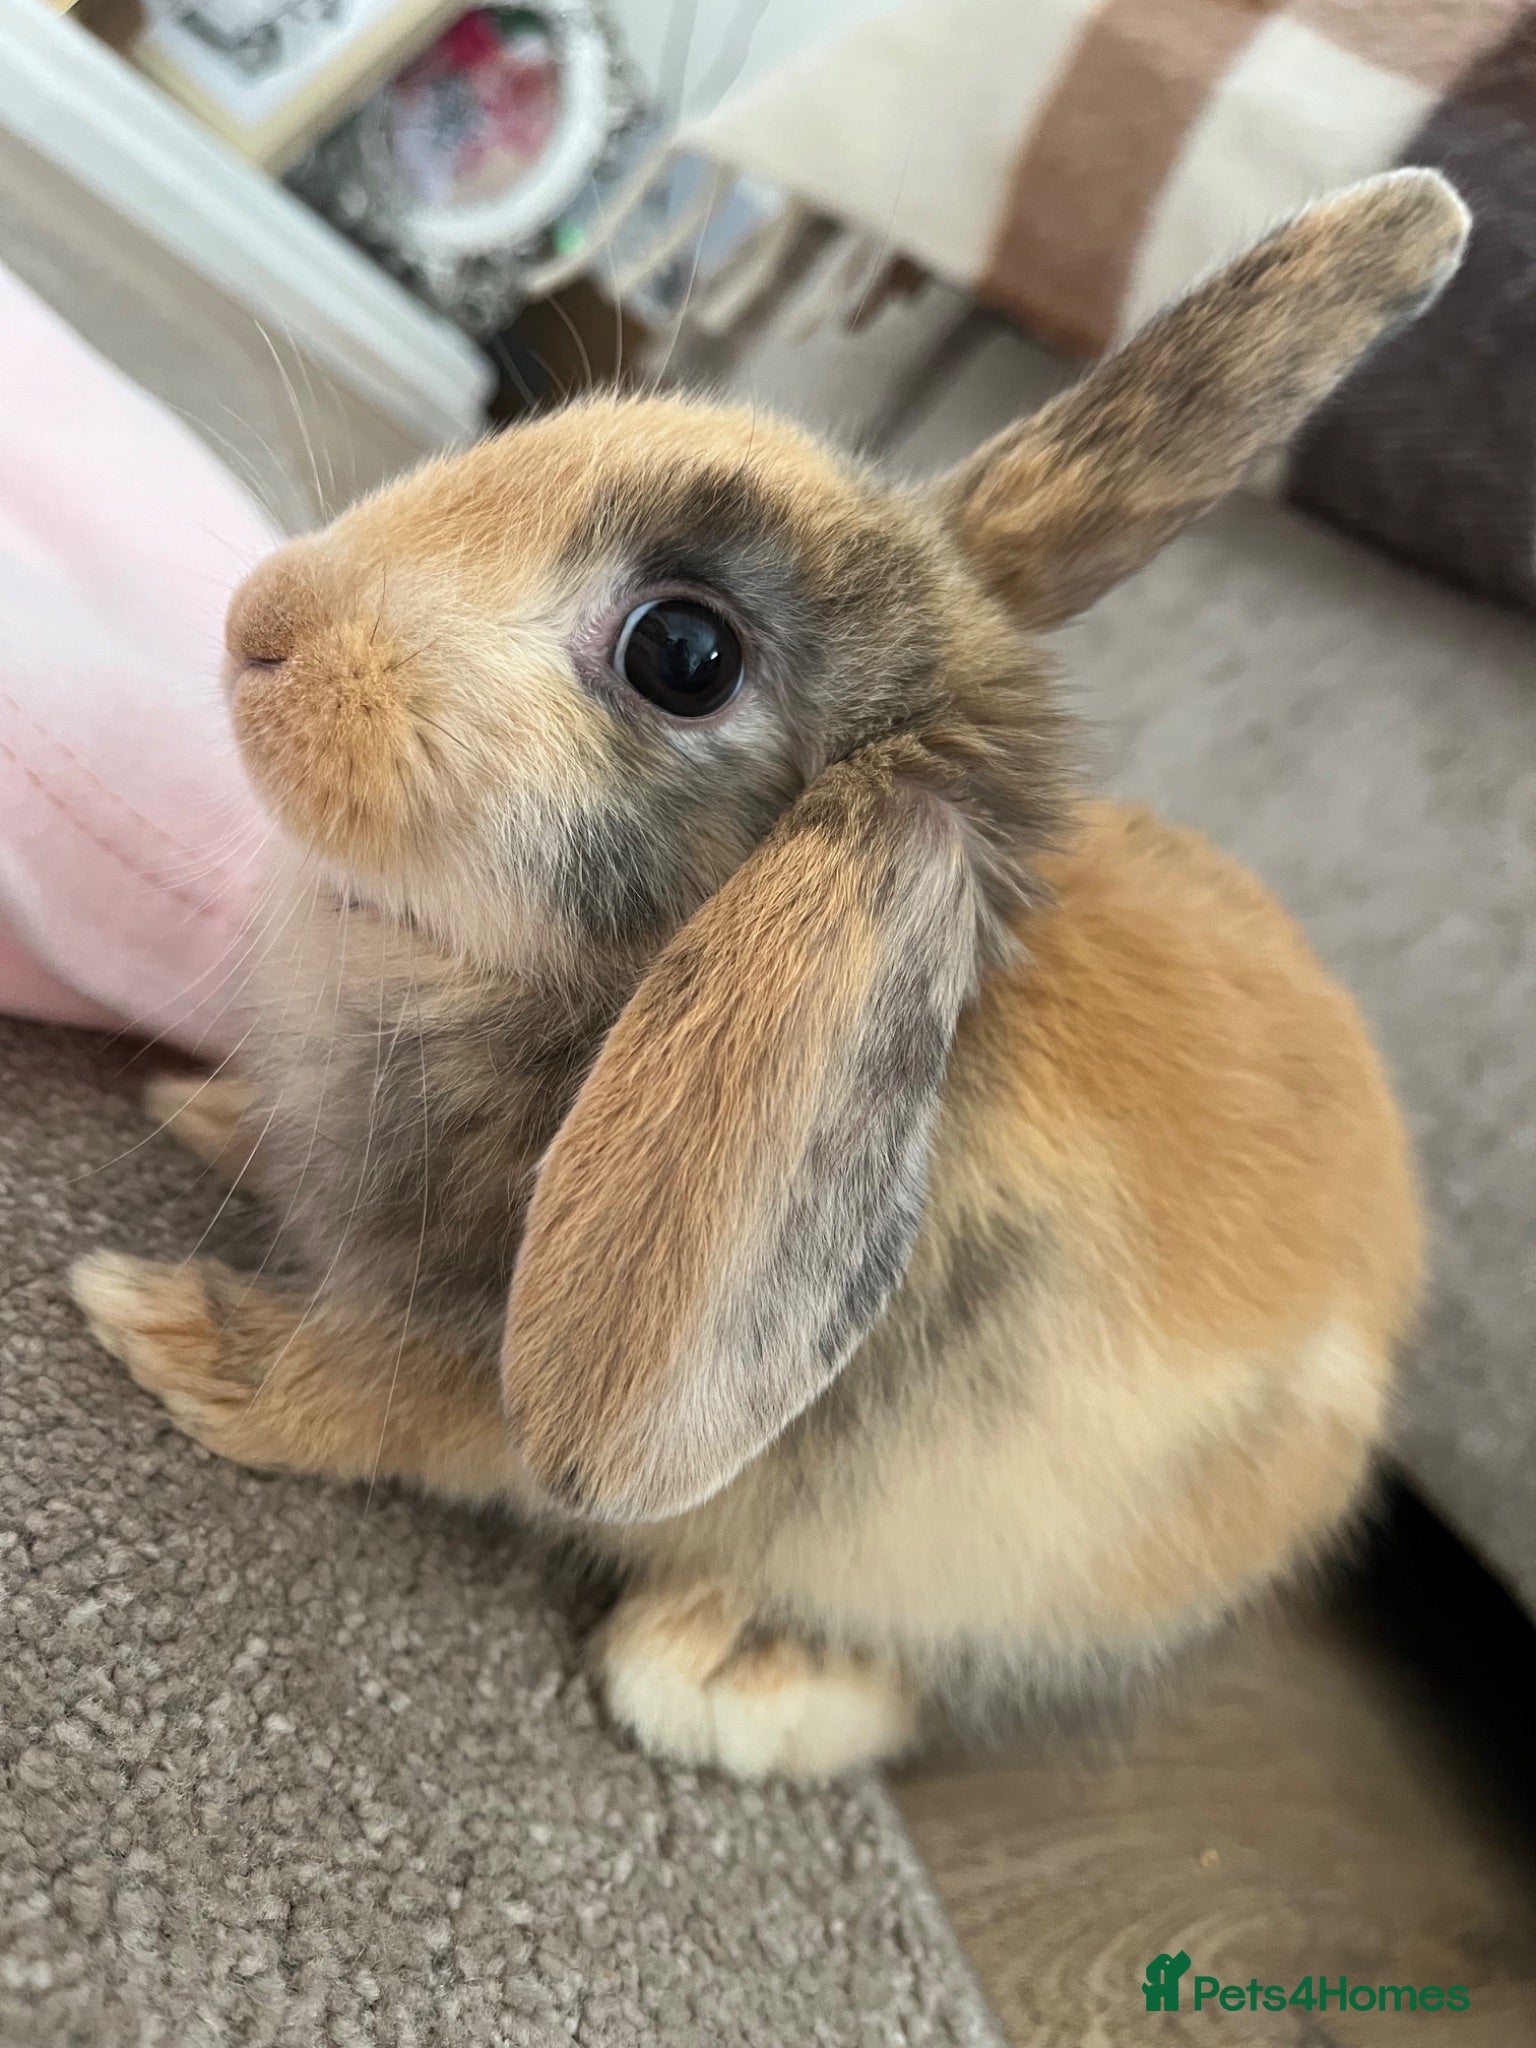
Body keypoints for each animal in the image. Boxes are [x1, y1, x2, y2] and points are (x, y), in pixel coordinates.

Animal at [72, 170, 1465, 1781]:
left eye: (683, 653)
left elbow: (354, 1399)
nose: (263, 622)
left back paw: (727, 1671)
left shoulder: (463, 1359)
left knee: (929, 1679)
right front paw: (201, 1109)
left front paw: (174, 1333)